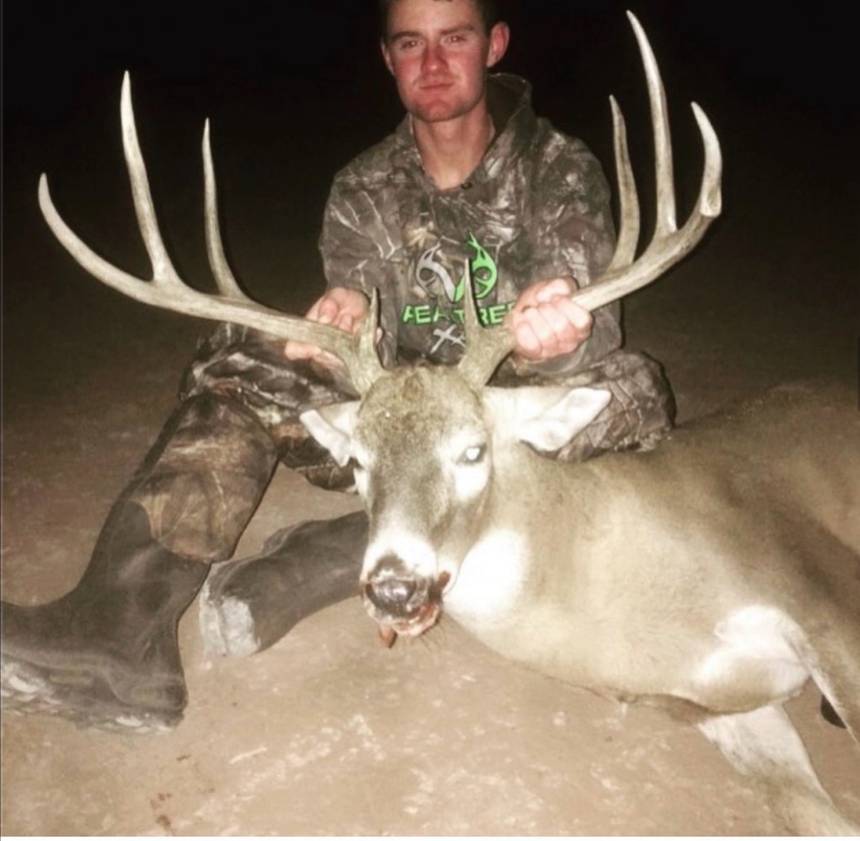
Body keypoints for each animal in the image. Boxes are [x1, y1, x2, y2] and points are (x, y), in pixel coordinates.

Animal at [36, 11, 859, 835]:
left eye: (473, 451)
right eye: (359, 462)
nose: (395, 588)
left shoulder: (820, 596)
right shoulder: (716, 705)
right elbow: (817, 815)